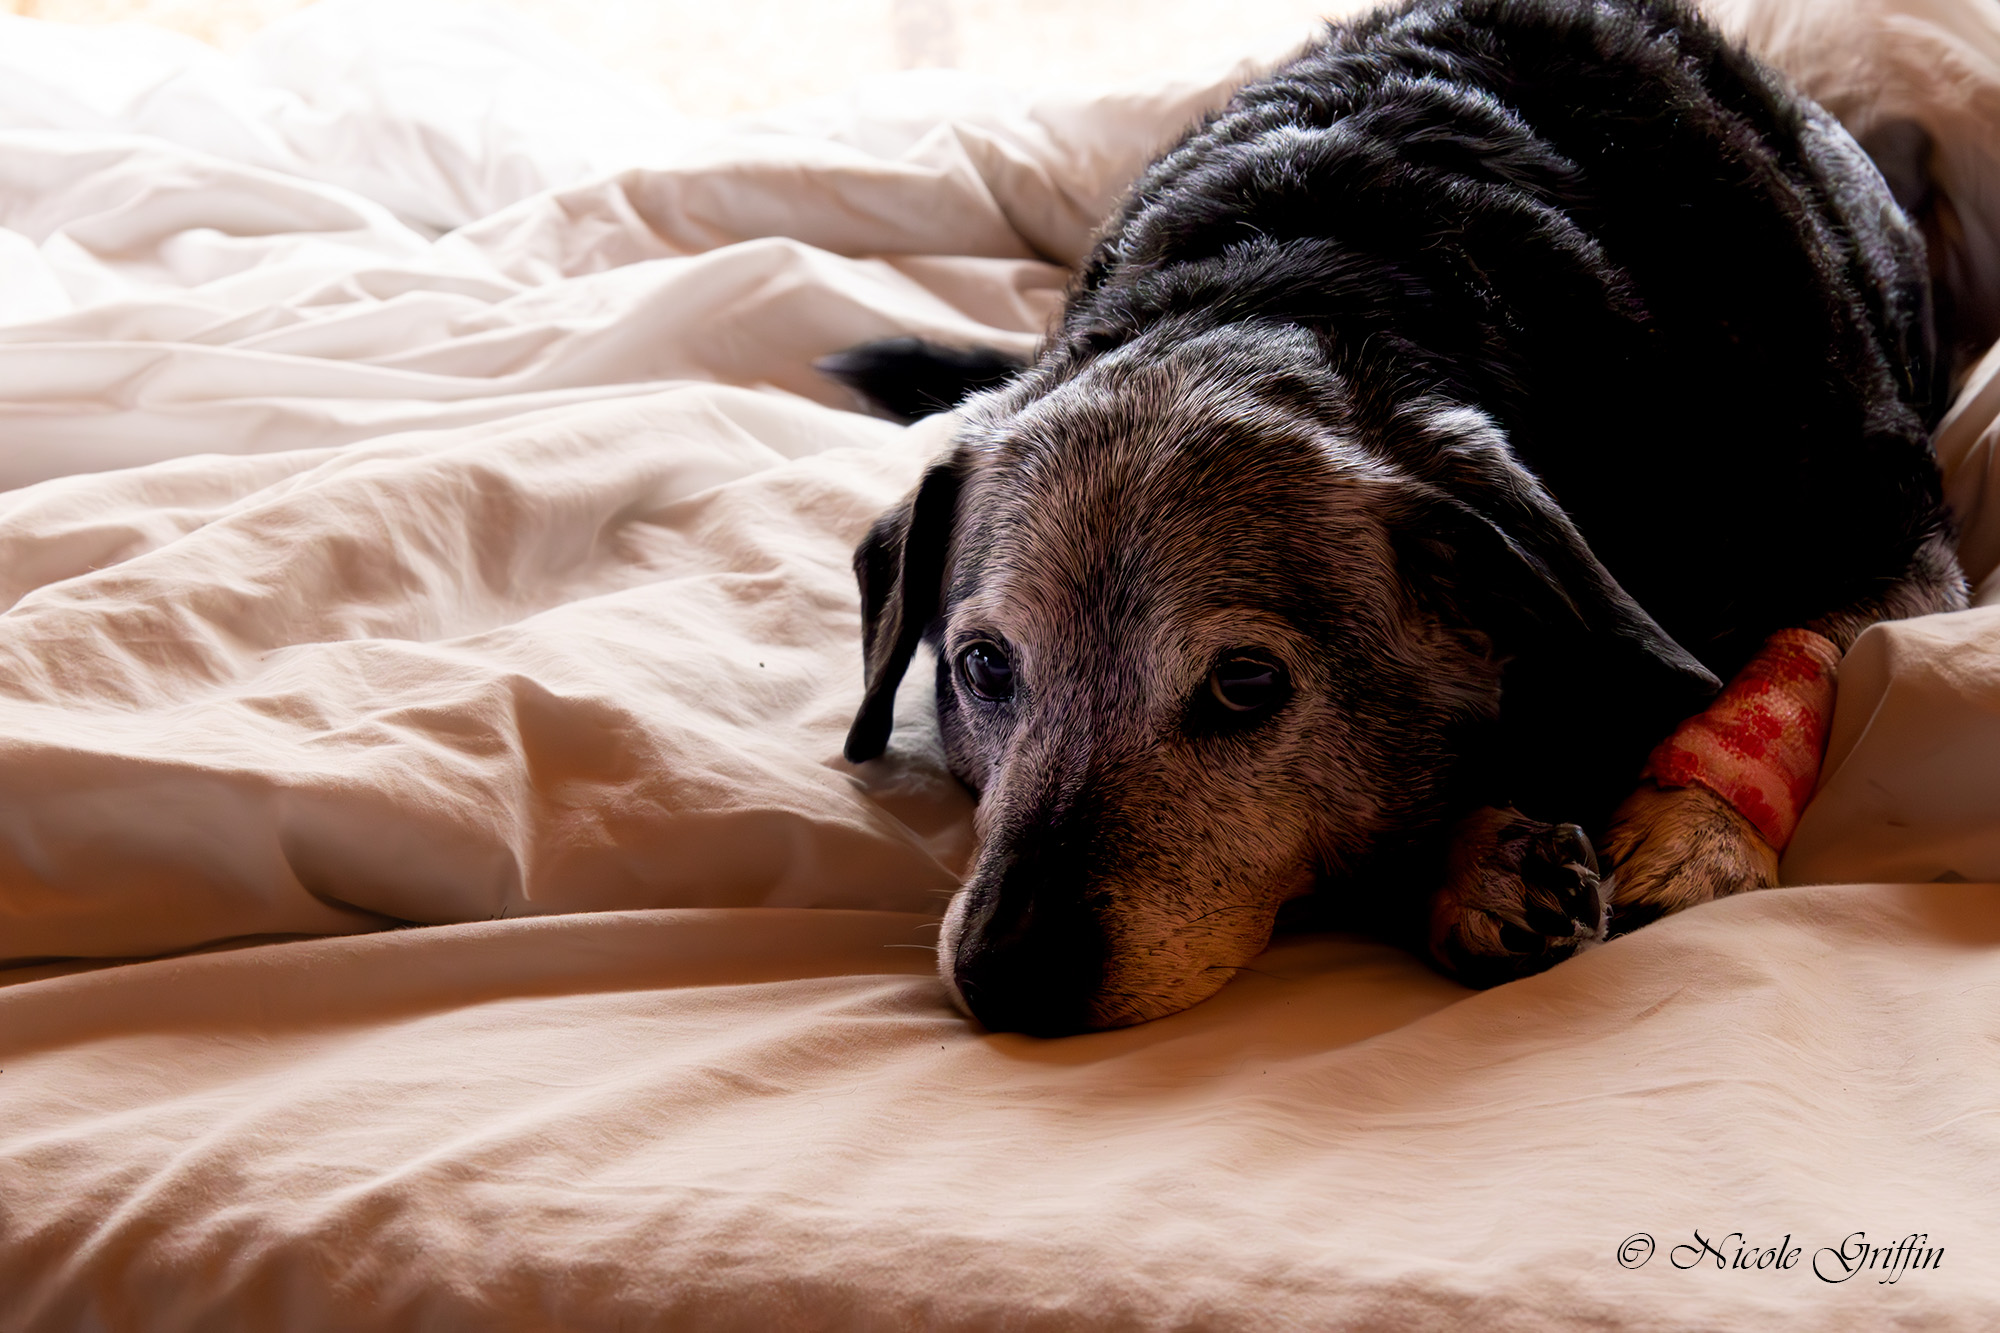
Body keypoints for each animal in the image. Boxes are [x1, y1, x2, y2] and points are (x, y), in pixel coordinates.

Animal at [824, 0, 1968, 1032]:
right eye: (984, 667)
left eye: (1246, 683)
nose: (1004, 972)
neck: (1303, 276)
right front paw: (1473, 863)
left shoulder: (1901, 532)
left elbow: (1806, 653)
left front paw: (1696, 824)